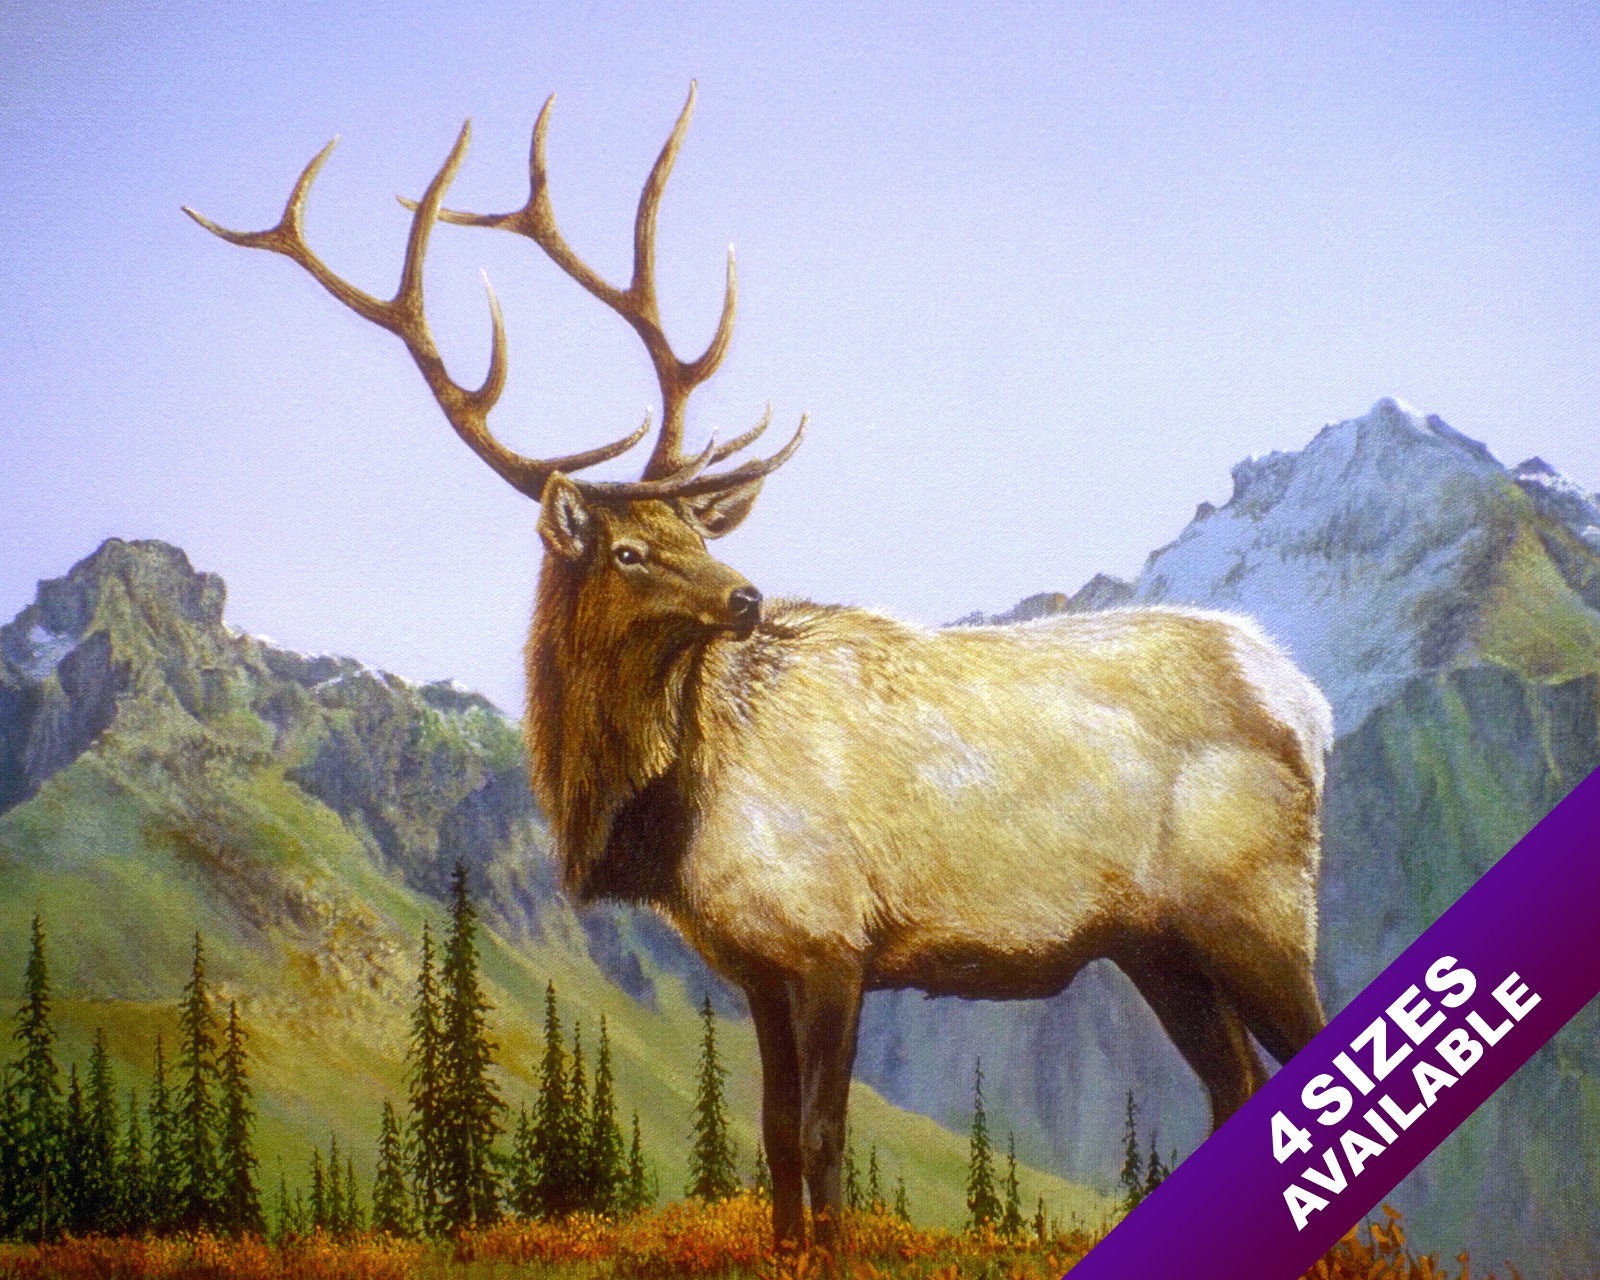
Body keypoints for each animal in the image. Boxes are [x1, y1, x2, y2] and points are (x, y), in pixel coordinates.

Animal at [186, 85, 1332, 1249]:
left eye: (695, 525)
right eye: (632, 549)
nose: (744, 597)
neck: (671, 810)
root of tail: (1306, 697)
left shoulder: (831, 936)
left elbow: (823, 1137)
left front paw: (831, 1253)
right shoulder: (752, 962)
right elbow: (778, 1135)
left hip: (1258, 905)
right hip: (1156, 942)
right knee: (1235, 1086)